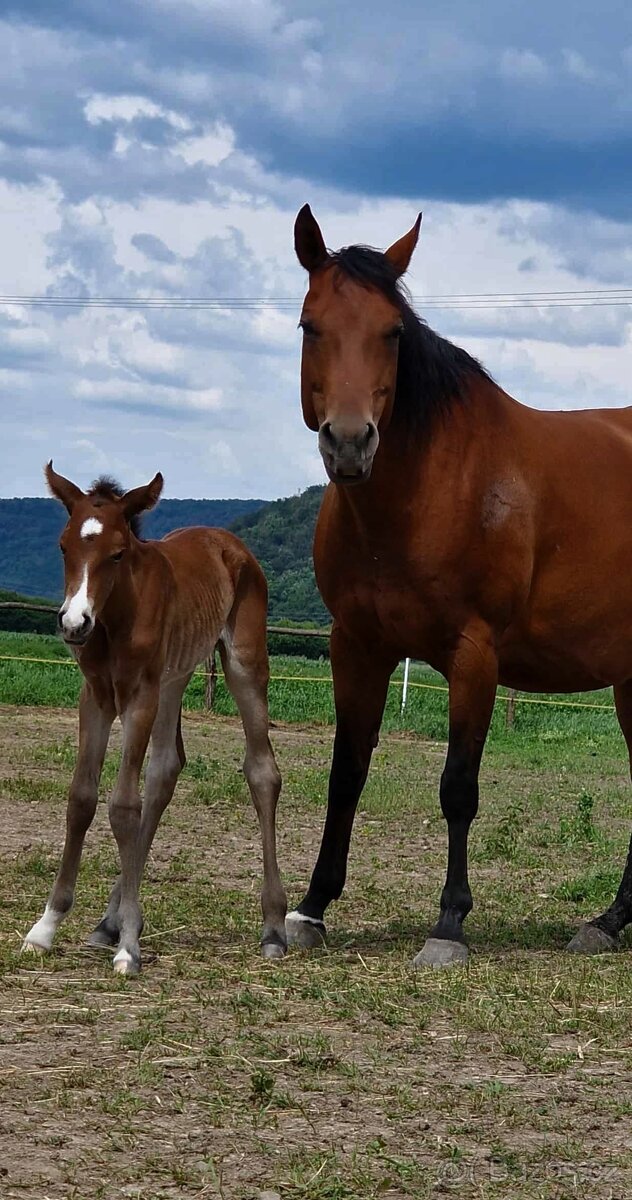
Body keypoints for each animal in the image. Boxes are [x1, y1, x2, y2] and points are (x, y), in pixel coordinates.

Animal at [23, 465, 287, 974]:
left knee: (262, 771)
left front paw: (129, 947)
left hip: (244, 665)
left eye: (118, 553)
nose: (74, 624)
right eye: (63, 546)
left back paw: (274, 928)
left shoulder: (139, 696)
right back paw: (109, 921)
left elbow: (124, 807)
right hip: (175, 676)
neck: (113, 617)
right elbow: (82, 799)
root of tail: (229, 542)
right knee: (166, 769)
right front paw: (46, 927)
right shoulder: (96, 697)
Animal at [286, 203, 632, 968]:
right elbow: (345, 773)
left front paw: (449, 923)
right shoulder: (357, 648)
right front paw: (311, 906)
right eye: (309, 324)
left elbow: (458, 788)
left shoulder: (474, 657)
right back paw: (610, 920)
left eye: (391, 332)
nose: (349, 443)